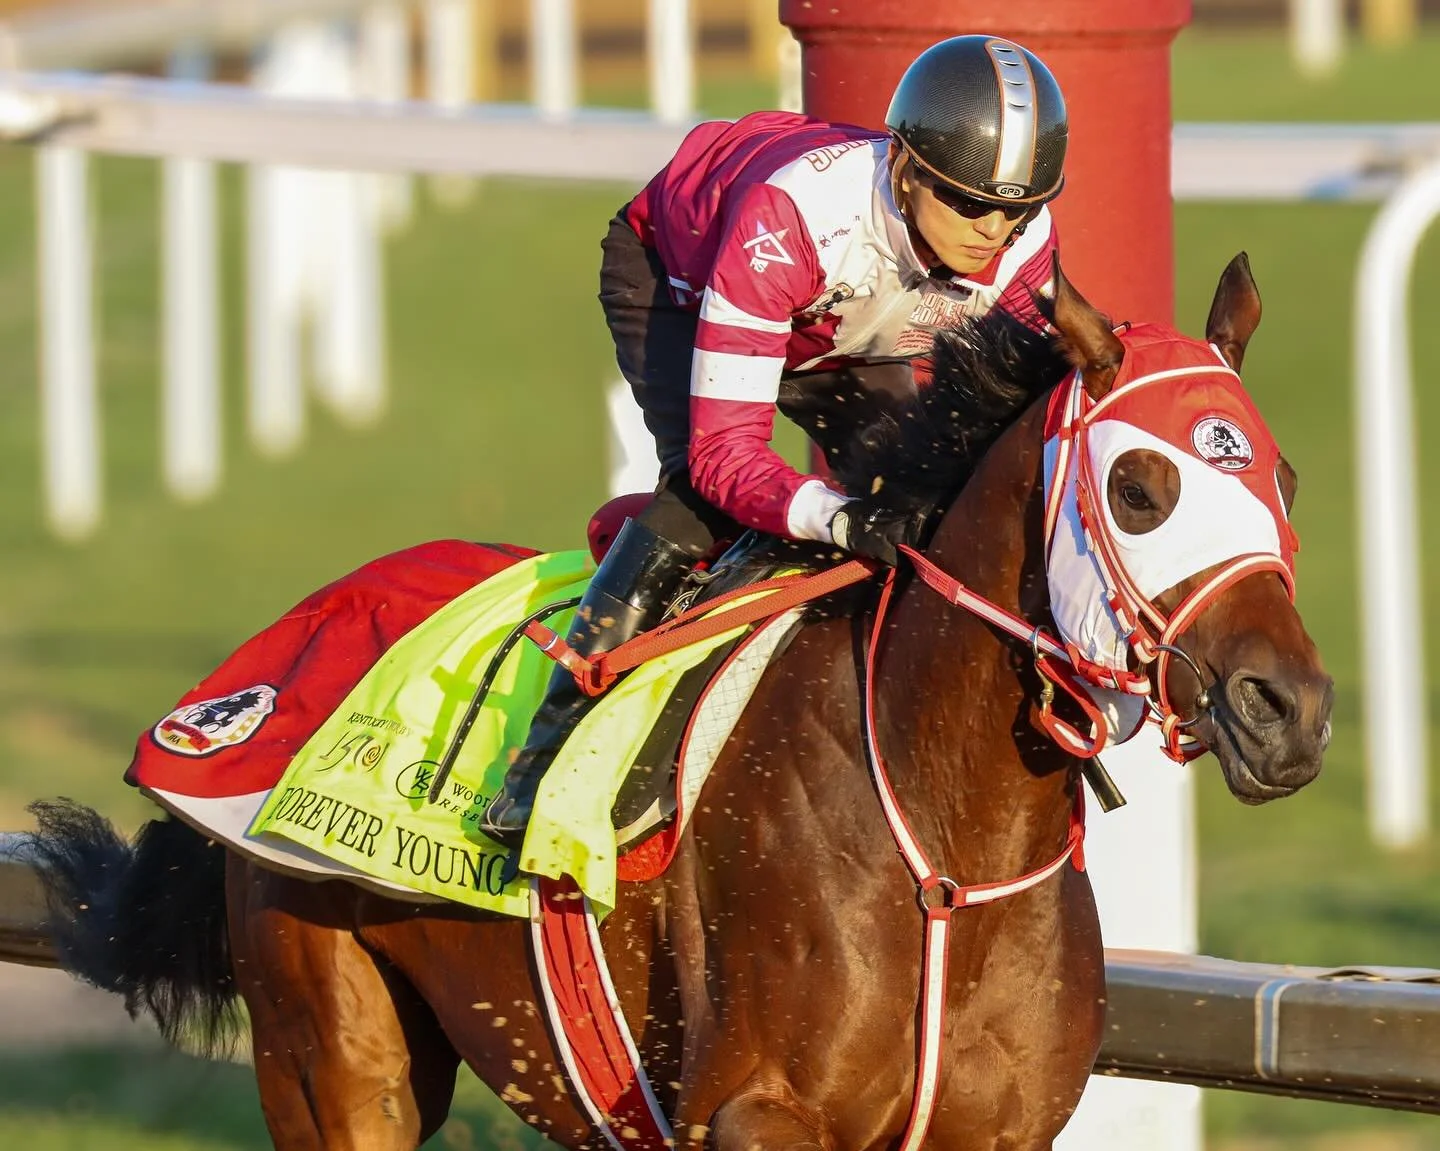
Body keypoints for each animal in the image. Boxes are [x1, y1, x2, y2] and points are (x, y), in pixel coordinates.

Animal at [22, 255, 1331, 1151]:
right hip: (335, 1058)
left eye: (1281, 473)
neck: (943, 840)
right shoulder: (755, 1114)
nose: (1291, 709)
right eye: (1143, 485)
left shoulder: (999, 1126)